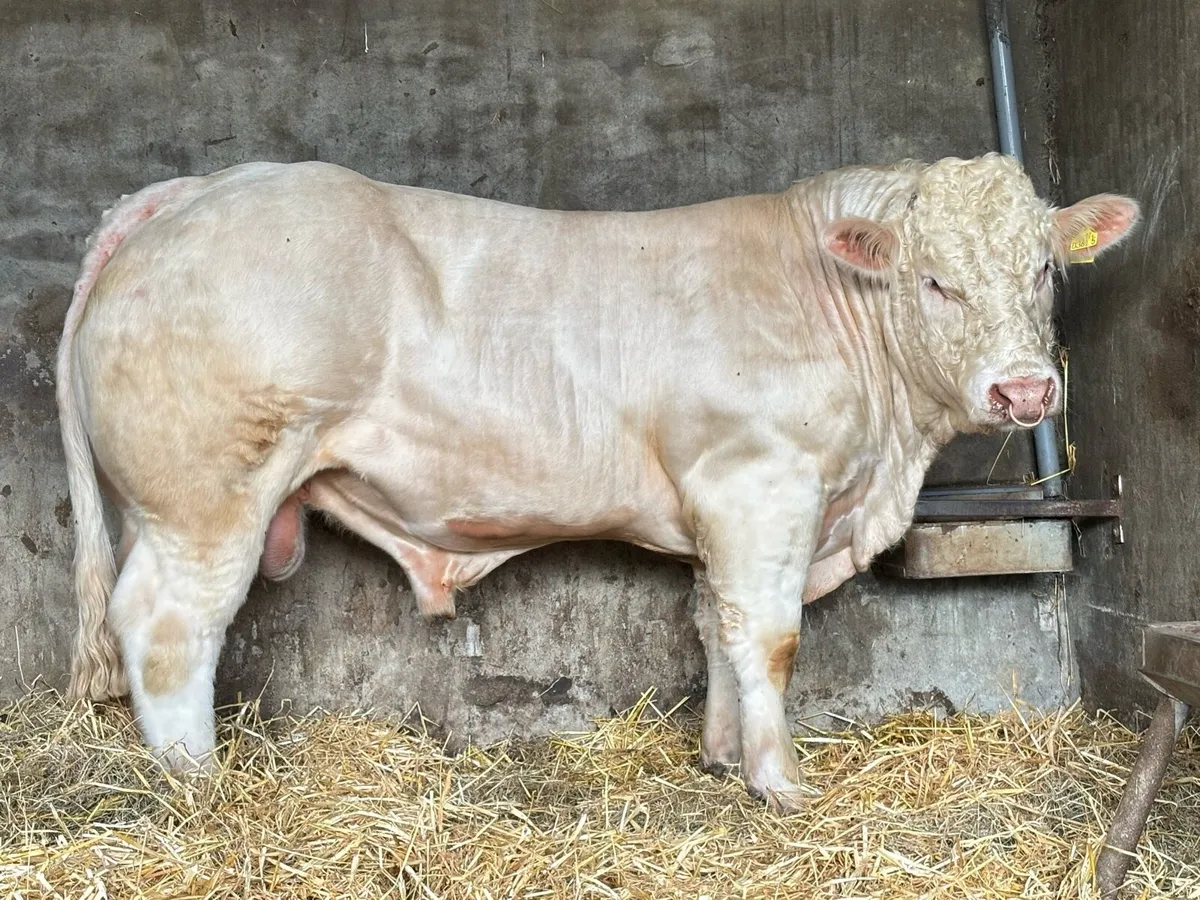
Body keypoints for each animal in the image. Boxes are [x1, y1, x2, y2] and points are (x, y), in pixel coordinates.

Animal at [56, 154, 1139, 811]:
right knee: (167, 625)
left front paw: (723, 754)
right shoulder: (760, 483)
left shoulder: (721, 506)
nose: (1025, 388)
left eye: (1044, 270)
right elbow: (769, 636)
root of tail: (199, 188)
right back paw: (196, 780)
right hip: (207, 496)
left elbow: (714, 624)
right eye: (934, 281)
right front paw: (781, 782)